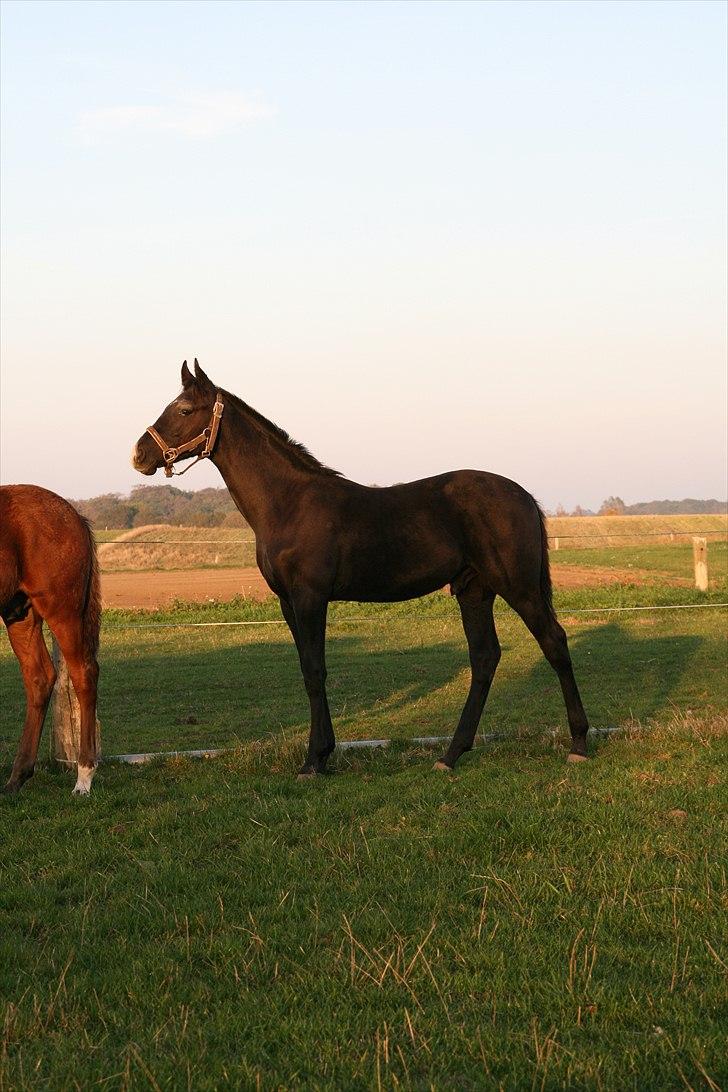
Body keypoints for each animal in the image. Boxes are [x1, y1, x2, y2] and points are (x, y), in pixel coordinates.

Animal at [0, 487, 100, 794]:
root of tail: (75, 515)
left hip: (62, 611)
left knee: (84, 675)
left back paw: (83, 778)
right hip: (19, 615)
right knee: (40, 679)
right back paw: (16, 778)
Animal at [132, 362, 593, 781]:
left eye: (184, 409)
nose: (139, 455)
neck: (288, 502)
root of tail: (525, 496)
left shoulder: (310, 598)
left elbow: (315, 670)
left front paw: (314, 760)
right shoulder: (288, 603)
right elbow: (307, 668)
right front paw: (322, 754)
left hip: (520, 588)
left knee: (554, 642)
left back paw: (579, 744)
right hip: (473, 591)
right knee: (484, 659)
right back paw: (450, 754)